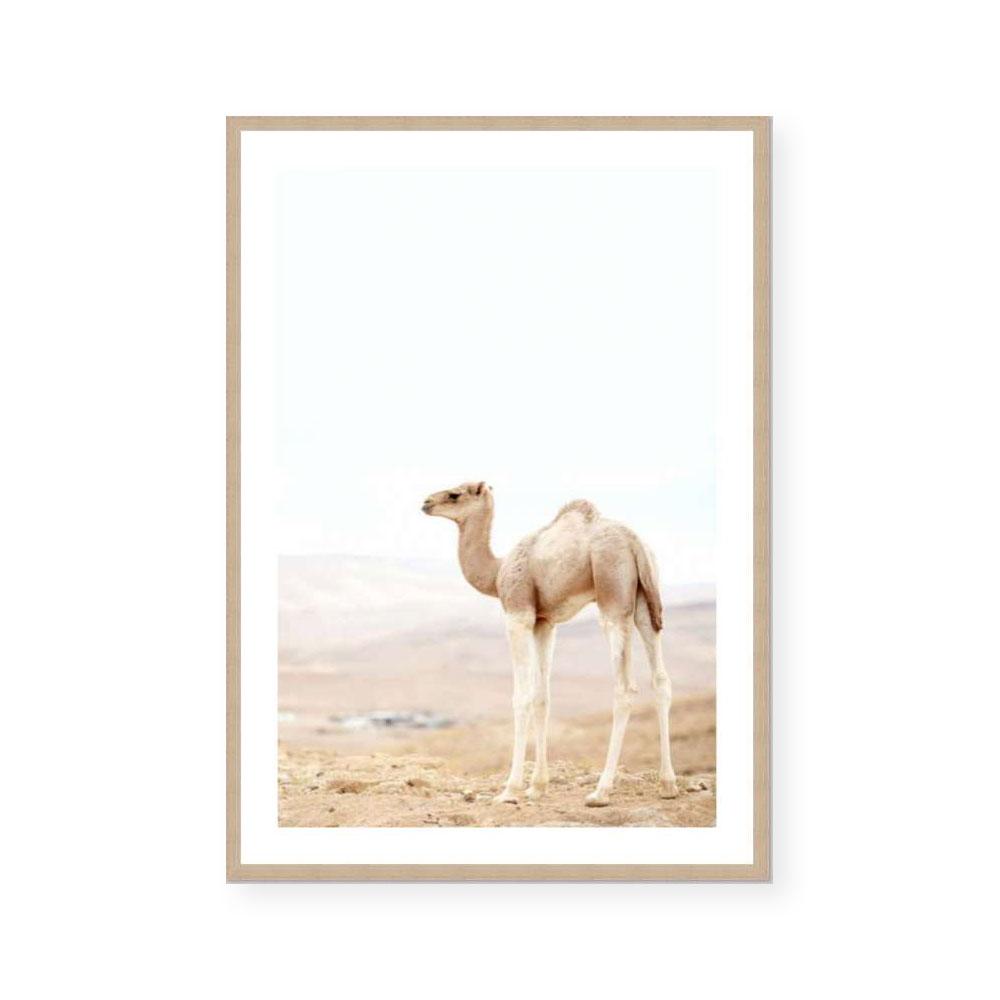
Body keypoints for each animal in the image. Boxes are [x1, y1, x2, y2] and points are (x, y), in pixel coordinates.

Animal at [422, 481, 678, 806]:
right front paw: (537, 786)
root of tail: (636, 544)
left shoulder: (518, 613)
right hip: (646, 600)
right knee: (661, 680)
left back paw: (601, 791)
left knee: (624, 687)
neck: (497, 572)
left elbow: (521, 698)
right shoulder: (544, 622)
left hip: (612, 596)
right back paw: (668, 784)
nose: (426, 502)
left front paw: (510, 790)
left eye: (455, 494)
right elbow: (542, 697)